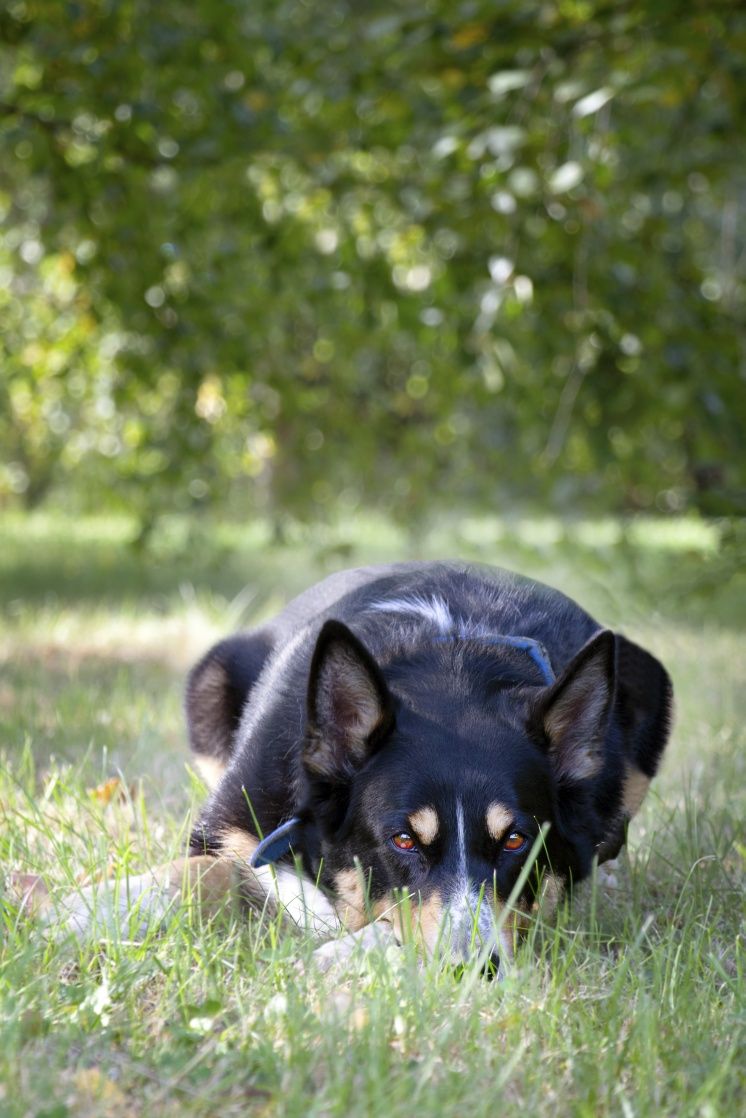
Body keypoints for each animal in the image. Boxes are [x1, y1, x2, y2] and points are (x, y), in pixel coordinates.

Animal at [36, 563, 675, 974]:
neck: (453, 657)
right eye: (403, 840)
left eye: (516, 840)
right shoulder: (227, 825)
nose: (473, 969)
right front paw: (73, 912)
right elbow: (203, 872)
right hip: (211, 678)